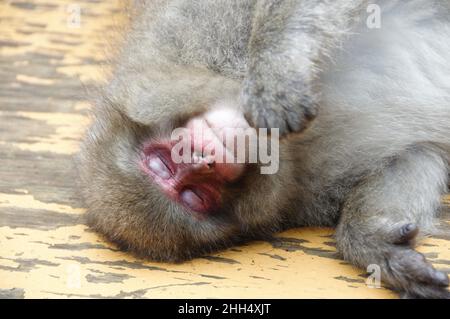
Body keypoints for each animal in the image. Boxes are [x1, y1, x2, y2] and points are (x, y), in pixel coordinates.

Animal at [77, 0, 450, 300]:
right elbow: (414, 156)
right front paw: (375, 244)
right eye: (196, 196)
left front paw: (275, 73)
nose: (204, 162)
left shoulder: (199, 31)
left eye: (163, 164)